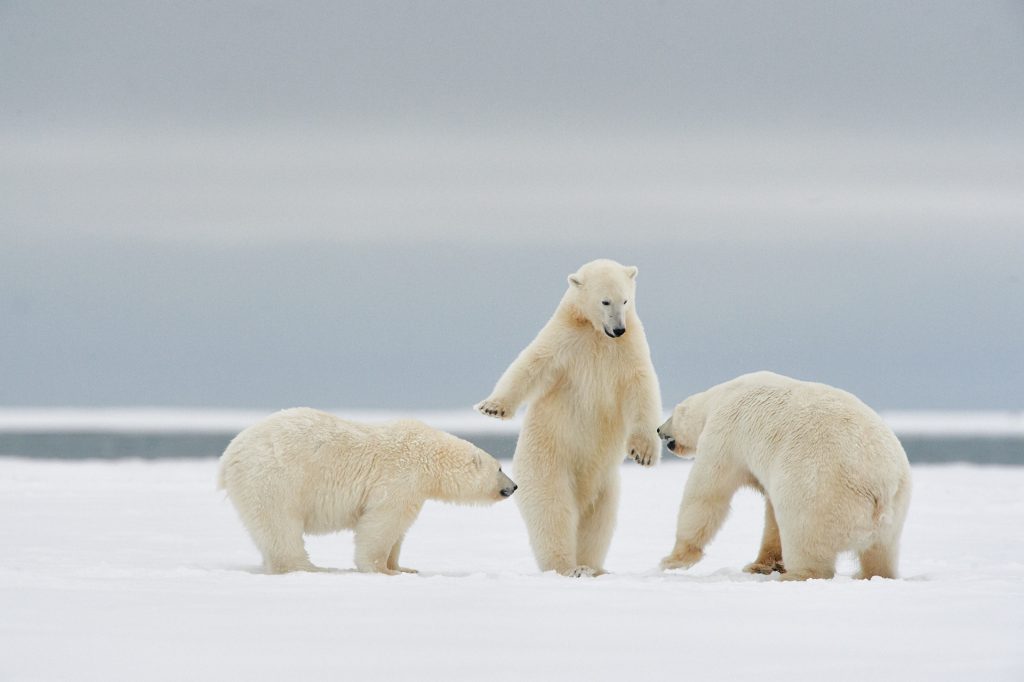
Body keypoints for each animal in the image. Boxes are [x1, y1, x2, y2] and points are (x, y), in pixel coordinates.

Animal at [219, 409, 516, 573]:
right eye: (500, 468)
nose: (513, 487)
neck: (429, 455)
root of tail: (228, 456)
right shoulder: (401, 478)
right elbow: (382, 523)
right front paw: (382, 570)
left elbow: (398, 531)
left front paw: (403, 567)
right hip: (275, 479)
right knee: (281, 526)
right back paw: (309, 567)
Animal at [473, 258, 659, 577]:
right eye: (605, 300)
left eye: (625, 300)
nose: (618, 328)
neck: (596, 334)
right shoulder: (565, 339)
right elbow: (531, 364)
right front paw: (492, 407)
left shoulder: (629, 349)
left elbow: (641, 389)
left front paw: (644, 453)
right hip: (549, 462)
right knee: (553, 511)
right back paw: (568, 567)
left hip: (606, 484)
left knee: (598, 521)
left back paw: (593, 567)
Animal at [659, 372, 917, 577]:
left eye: (672, 415)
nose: (659, 429)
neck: (723, 394)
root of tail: (881, 486)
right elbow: (771, 514)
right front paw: (761, 565)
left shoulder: (724, 433)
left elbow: (706, 493)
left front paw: (672, 560)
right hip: (896, 510)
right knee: (881, 552)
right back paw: (870, 574)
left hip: (820, 493)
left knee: (804, 539)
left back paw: (796, 575)